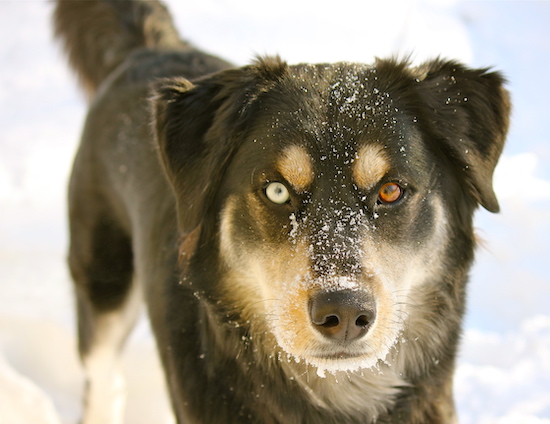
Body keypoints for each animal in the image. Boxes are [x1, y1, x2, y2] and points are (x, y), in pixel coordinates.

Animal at [54, 1, 512, 422]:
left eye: (390, 190)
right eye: (277, 191)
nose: (345, 312)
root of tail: (151, 49)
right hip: (104, 280)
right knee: (102, 376)